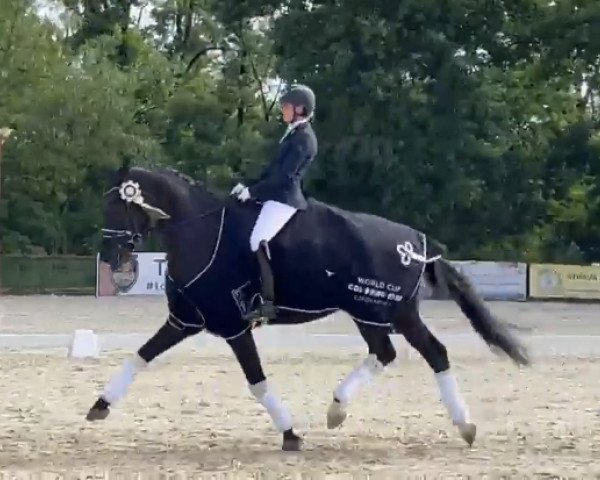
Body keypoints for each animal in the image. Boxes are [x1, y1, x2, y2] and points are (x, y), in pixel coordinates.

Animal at [85, 165, 528, 450]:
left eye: (120, 206)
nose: (114, 260)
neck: (201, 231)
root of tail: (417, 244)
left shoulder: (232, 325)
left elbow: (257, 382)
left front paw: (290, 433)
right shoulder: (185, 320)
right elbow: (139, 357)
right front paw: (99, 406)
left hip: (394, 313)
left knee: (434, 352)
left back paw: (464, 425)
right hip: (368, 314)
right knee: (384, 352)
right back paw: (337, 410)